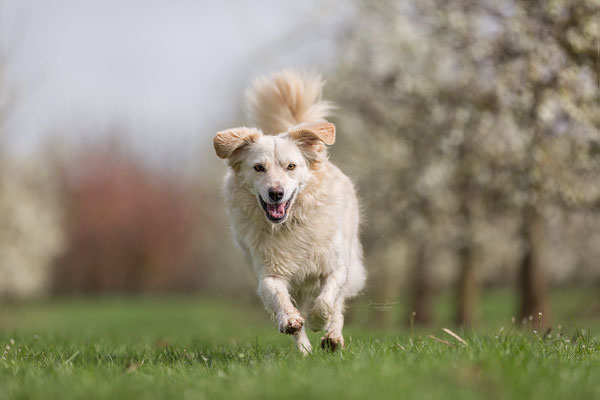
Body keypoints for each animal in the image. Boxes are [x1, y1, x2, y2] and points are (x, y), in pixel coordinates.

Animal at [214, 69, 366, 354]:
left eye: (291, 166)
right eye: (258, 168)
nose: (276, 193)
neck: (289, 223)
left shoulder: (336, 266)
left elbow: (327, 300)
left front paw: (319, 321)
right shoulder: (268, 272)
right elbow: (277, 296)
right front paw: (291, 321)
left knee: (338, 305)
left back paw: (332, 337)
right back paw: (304, 350)